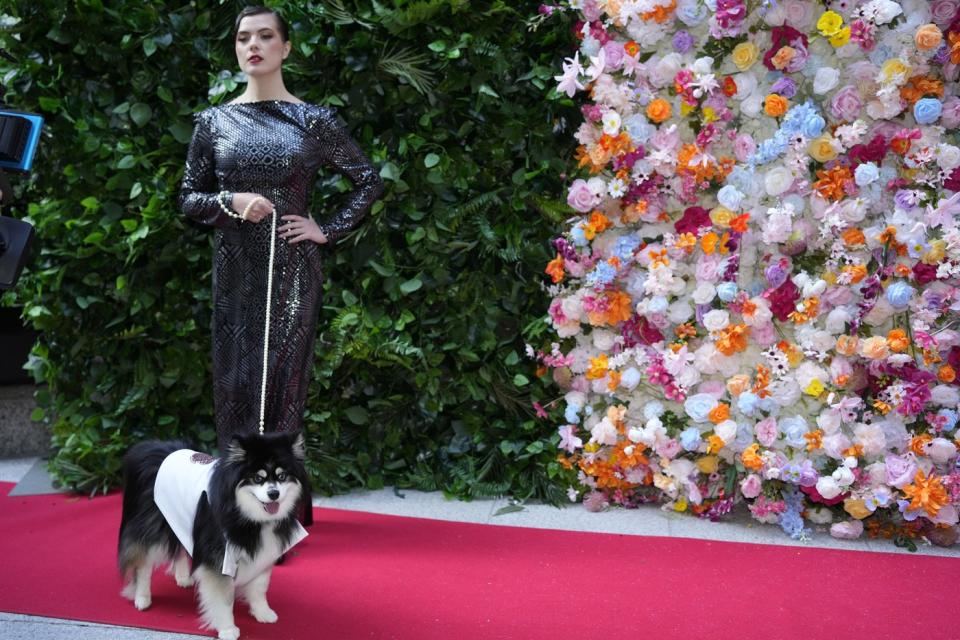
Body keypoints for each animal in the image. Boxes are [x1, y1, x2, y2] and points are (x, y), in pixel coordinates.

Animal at [117, 432, 310, 636]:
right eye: (258, 478)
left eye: (282, 476)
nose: (274, 494)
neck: (243, 512)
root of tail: (152, 448)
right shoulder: (218, 557)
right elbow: (223, 598)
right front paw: (227, 629)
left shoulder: (263, 553)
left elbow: (259, 587)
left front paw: (262, 613)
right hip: (152, 526)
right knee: (143, 564)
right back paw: (142, 597)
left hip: (180, 519)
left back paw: (182, 577)